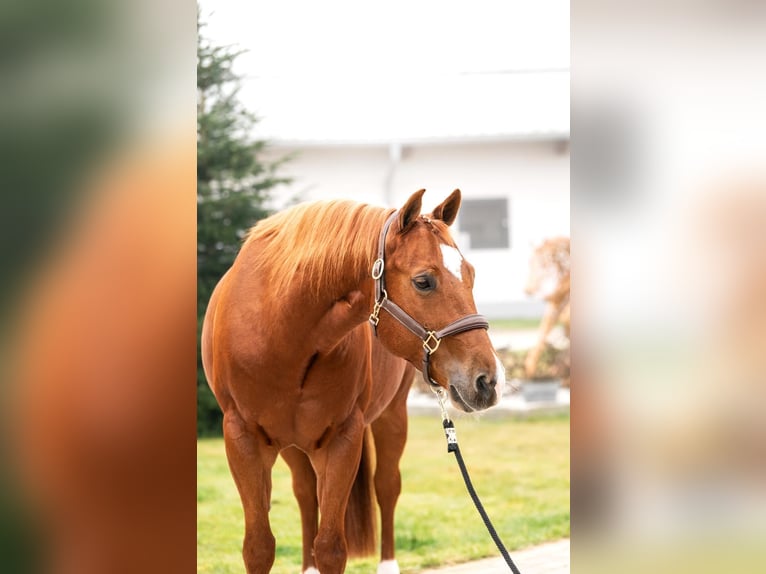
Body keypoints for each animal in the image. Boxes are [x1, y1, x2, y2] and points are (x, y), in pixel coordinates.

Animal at [201, 188, 505, 574]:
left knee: (386, 486)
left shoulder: (343, 439)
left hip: (391, 416)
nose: (489, 380)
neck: (282, 334)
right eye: (423, 281)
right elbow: (259, 547)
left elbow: (331, 547)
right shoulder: (242, 440)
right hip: (295, 447)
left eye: (471, 274)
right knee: (305, 494)